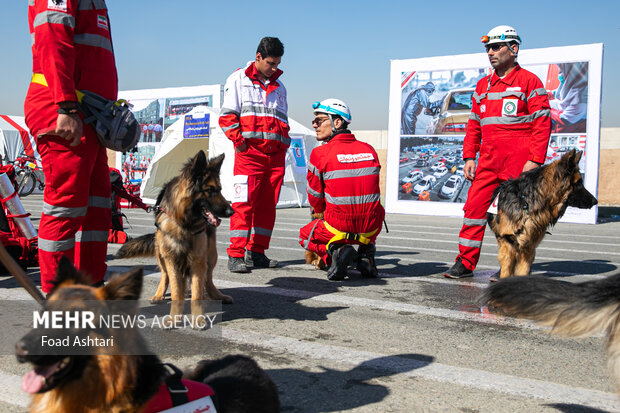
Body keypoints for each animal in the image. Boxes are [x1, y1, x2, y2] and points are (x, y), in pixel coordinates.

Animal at [115, 151, 232, 322]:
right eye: (210, 190)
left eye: (220, 189)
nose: (232, 211)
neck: (184, 223)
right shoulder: (171, 258)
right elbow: (176, 290)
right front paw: (174, 319)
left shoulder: (198, 259)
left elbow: (197, 291)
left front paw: (198, 319)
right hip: (161, 252)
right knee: (165, 275)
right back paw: (159, 295)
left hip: (211, 253)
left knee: (208, 278)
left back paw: (217, 295)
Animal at [490, 150, 596, 278]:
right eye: (579, 183)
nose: (595, 201)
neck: (527, 204)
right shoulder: (507, 242)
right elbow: (506, 270)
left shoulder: (528, 247)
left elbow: (523, 271)